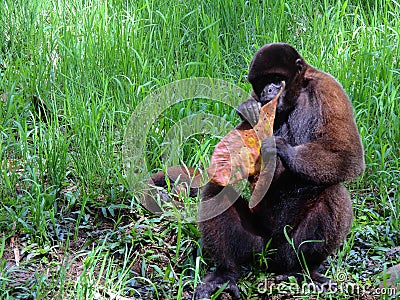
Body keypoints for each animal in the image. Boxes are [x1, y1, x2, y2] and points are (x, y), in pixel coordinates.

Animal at [194, 43, 366, 298]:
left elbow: (349, 155)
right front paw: (247, 108)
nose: (268, 90)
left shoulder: (329, 89)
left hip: (290, 247)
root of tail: (271, 254)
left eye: (276, 79)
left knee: (334, 192)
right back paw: (227, 272)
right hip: (256, 244)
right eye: (262, 82)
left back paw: (305, 271)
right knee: (216, 189)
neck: (298, 92)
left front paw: (281, 149)